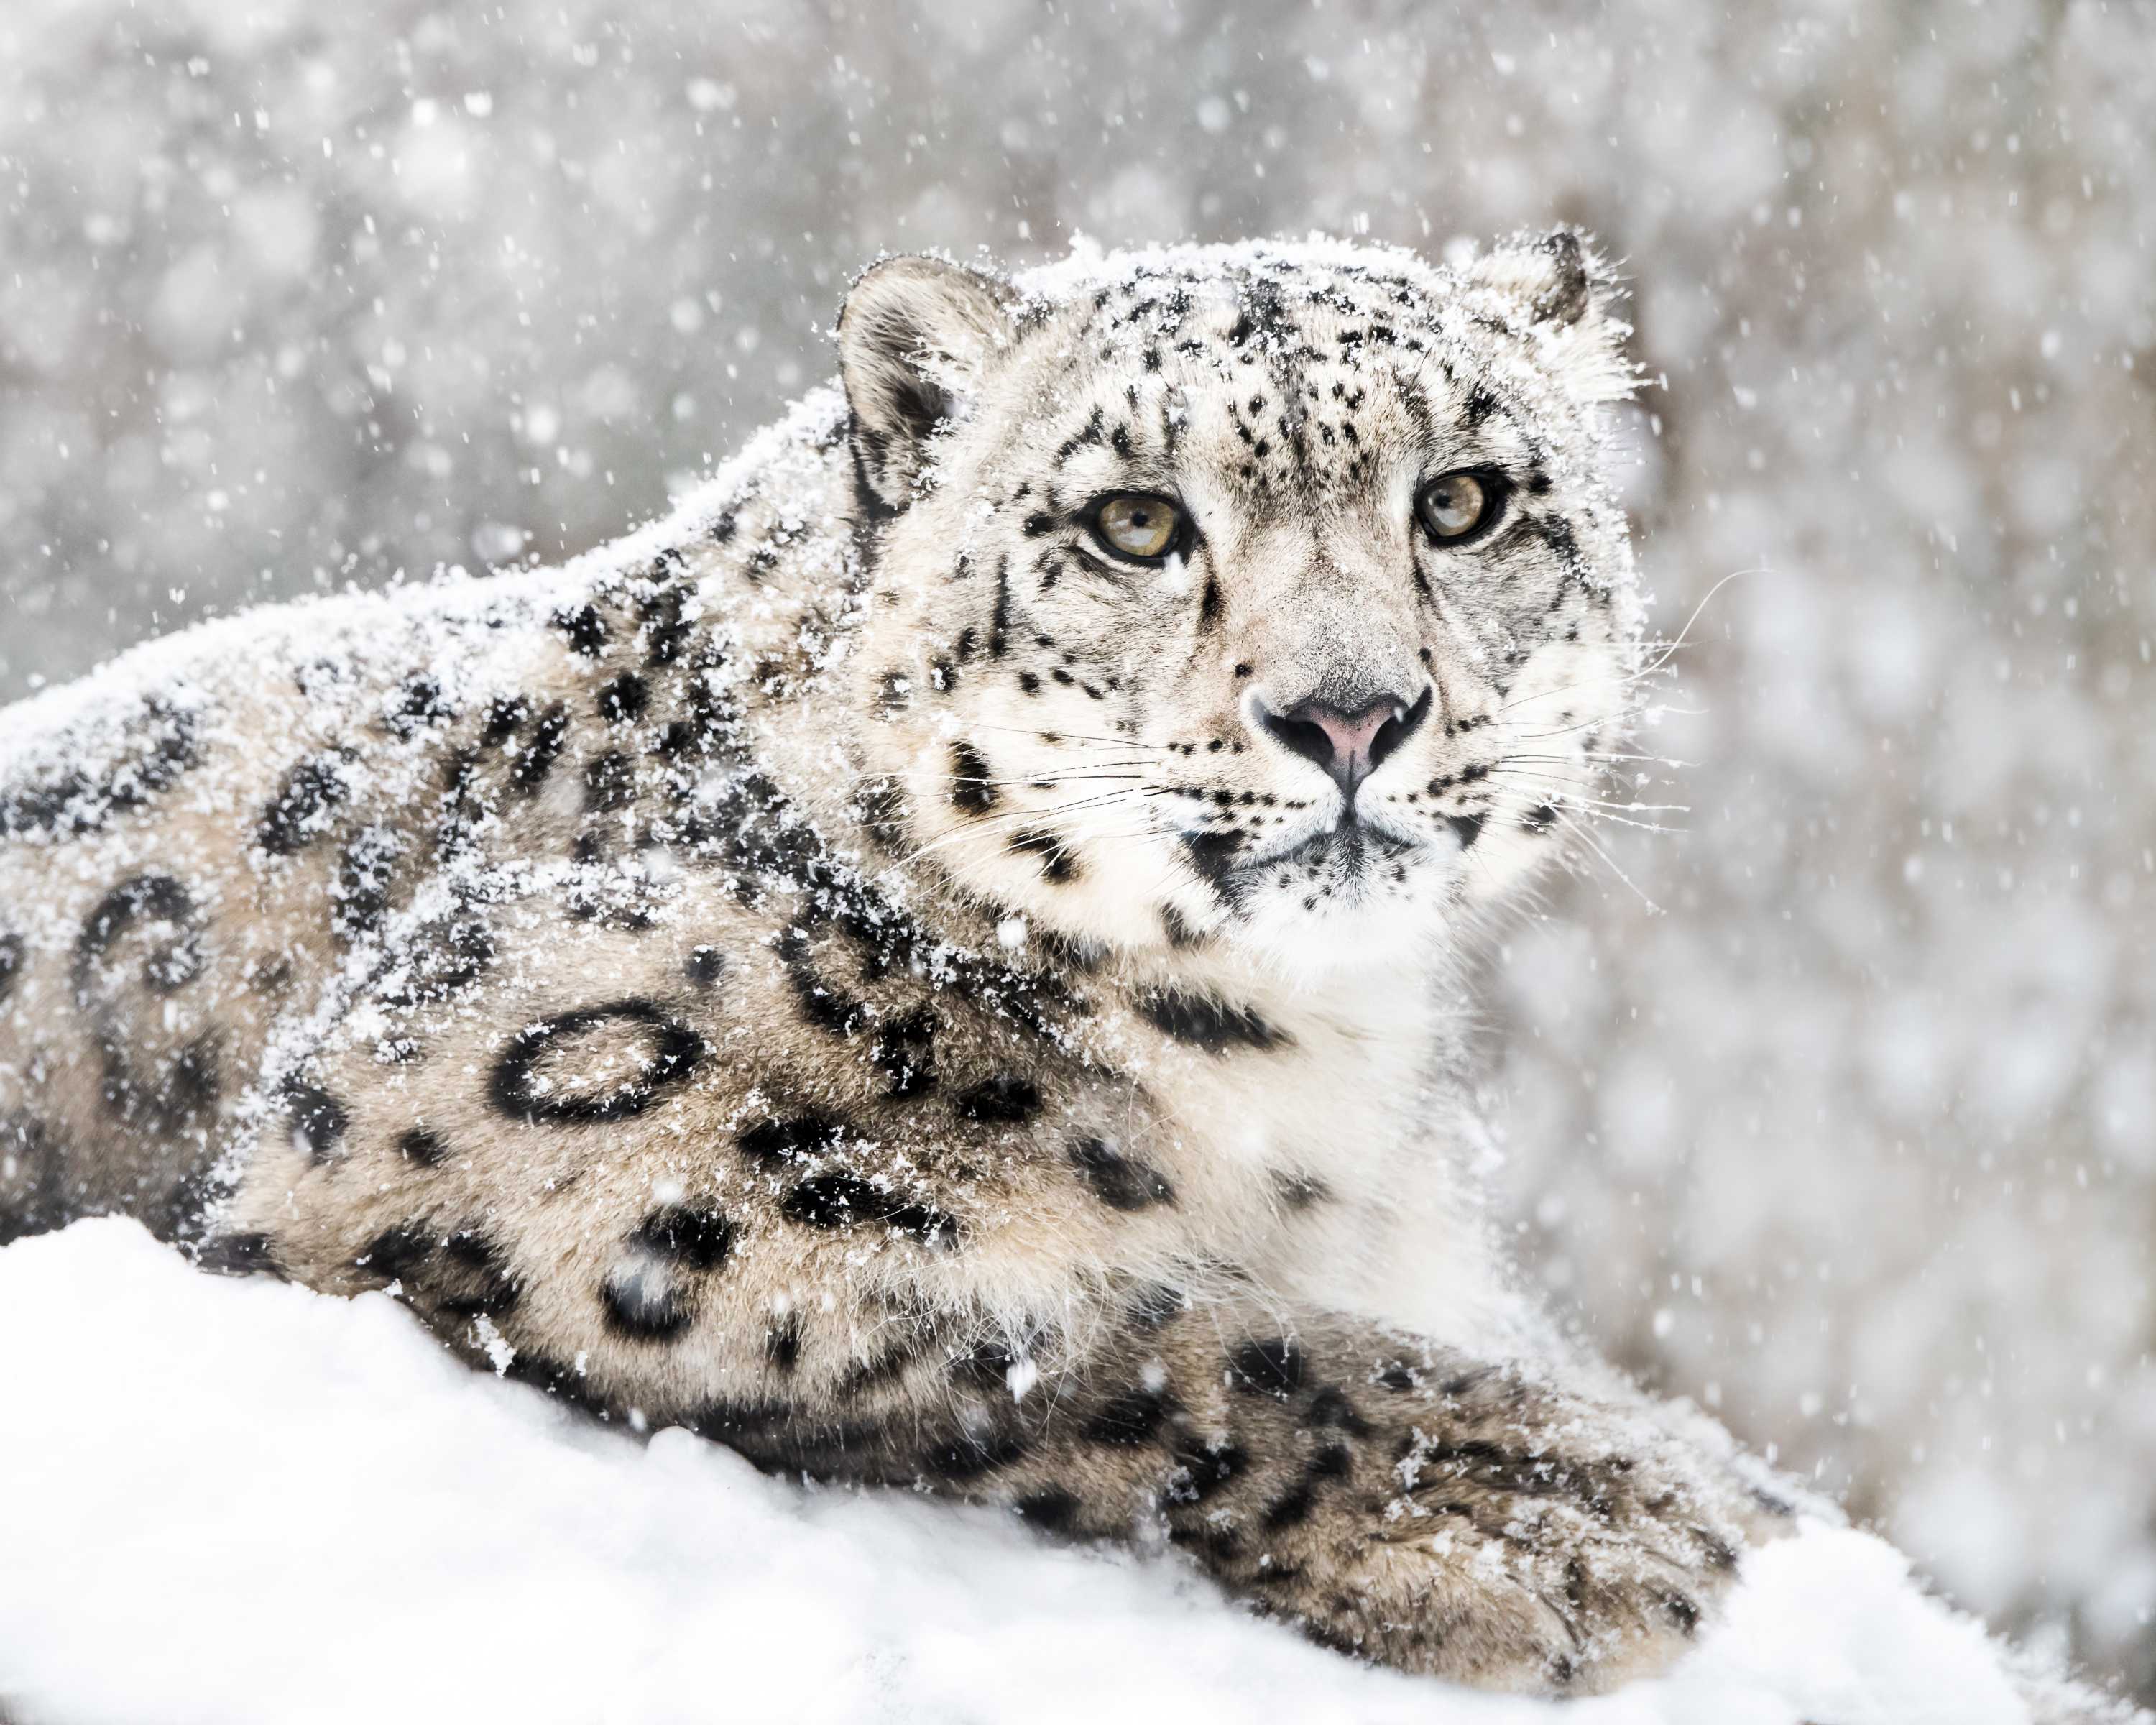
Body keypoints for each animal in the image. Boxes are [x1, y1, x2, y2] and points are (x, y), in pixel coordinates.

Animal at [0, 229, 1877, 1698]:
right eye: (1136, 521)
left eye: (1467, 502)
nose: (1350, 711)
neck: (1303, 1057)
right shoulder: (477, 1122)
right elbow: (1075, 1324)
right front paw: (1561, 1510)